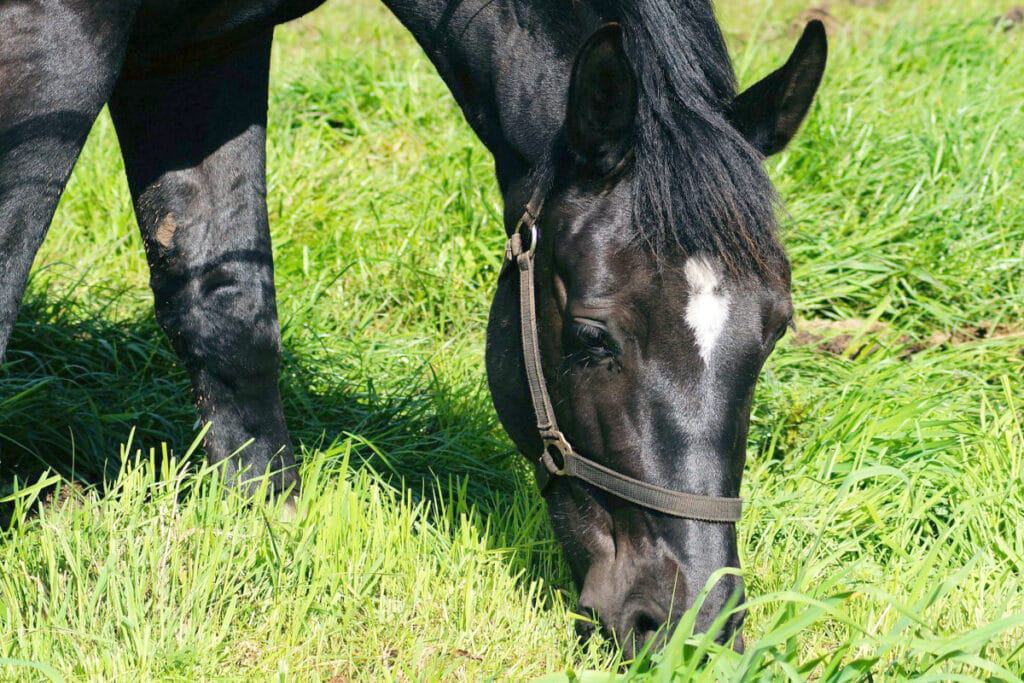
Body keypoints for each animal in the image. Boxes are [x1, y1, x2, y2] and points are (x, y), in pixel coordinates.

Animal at [0, 0, 825, 655]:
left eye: (774, 330)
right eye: (592, 336)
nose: (695, 627)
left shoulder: (207, 47)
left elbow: (227, 312)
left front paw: (266, 530)